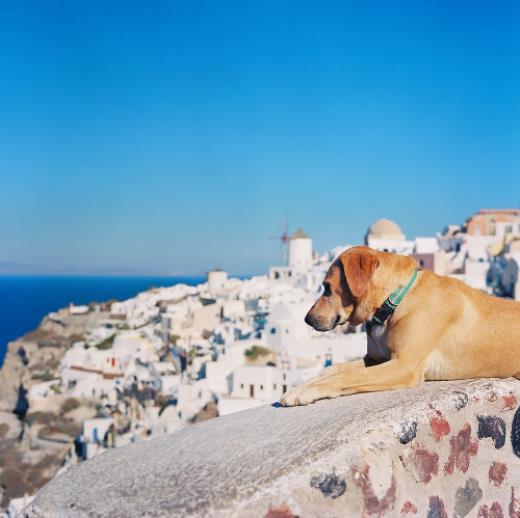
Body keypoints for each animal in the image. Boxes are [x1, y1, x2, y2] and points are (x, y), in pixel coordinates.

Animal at [282, 246, 520, 408]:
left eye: (327, 288)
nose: (307, 319)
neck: (394, 300)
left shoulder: (404, 366)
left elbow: (346, 377)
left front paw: (307, 390)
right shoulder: (376, 359)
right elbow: (336, 368)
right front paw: (304, 383)